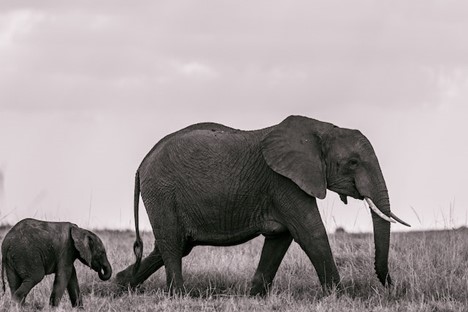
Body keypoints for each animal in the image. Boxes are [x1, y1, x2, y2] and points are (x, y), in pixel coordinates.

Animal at [116, 116, 410, 296]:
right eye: (353, 162)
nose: (392, 285)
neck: (321, 128)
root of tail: (142, 164)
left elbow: (281, 237)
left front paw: (255, 295)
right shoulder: (284, 182)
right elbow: (310, 233)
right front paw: (339, 296)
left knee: (174, 244)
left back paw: (122, 283)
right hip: (162, 191)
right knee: (173, 244)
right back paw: (179, 295)